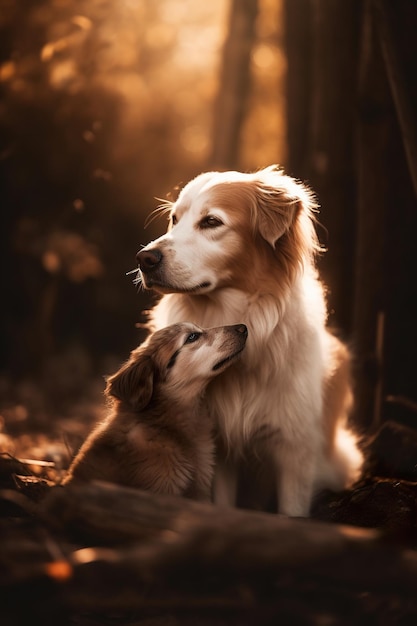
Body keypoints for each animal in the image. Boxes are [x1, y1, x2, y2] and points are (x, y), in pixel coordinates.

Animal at [135, 163, 362, 516]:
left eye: (211, 221)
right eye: (174, 219)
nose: (144, 258)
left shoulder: (295, 450)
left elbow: (291, 513)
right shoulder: (220, 445)